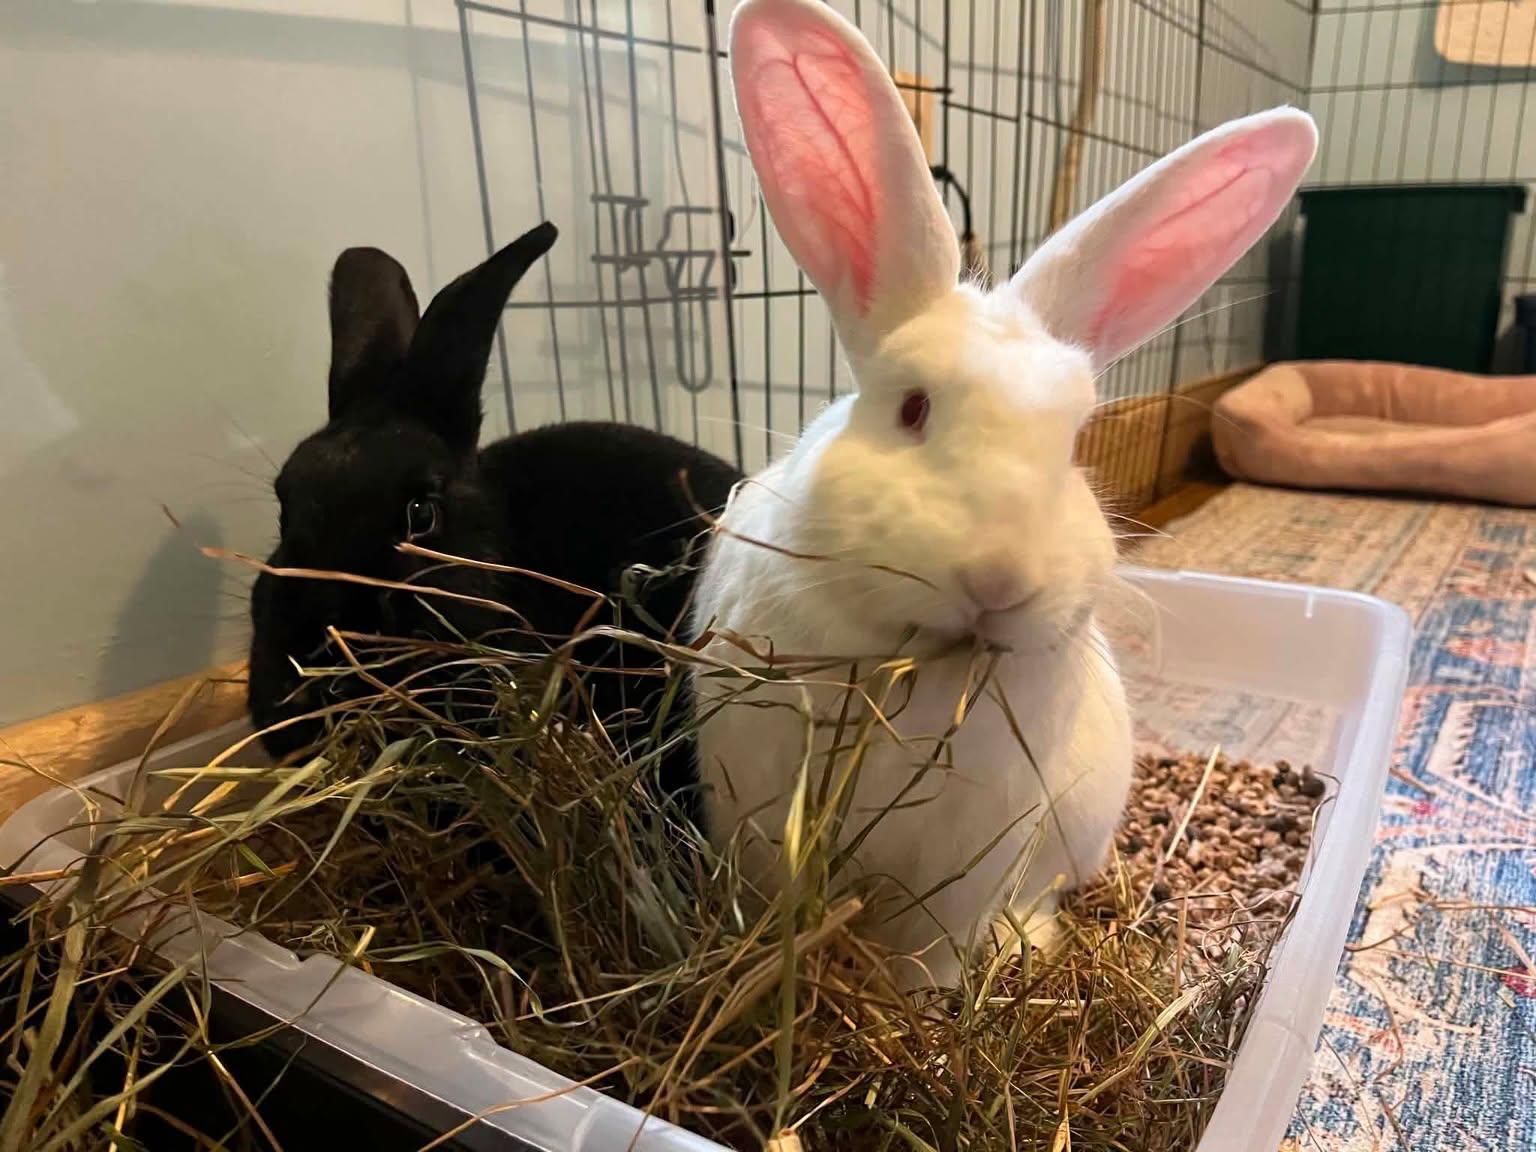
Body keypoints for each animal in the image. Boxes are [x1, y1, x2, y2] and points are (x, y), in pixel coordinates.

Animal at [692, 0, 1318, 988]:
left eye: (1072, 444)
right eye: (912, 407)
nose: (999, 582)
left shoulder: (964, 866)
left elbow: (933, 951)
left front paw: (921, 1001)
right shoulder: (755, 820)